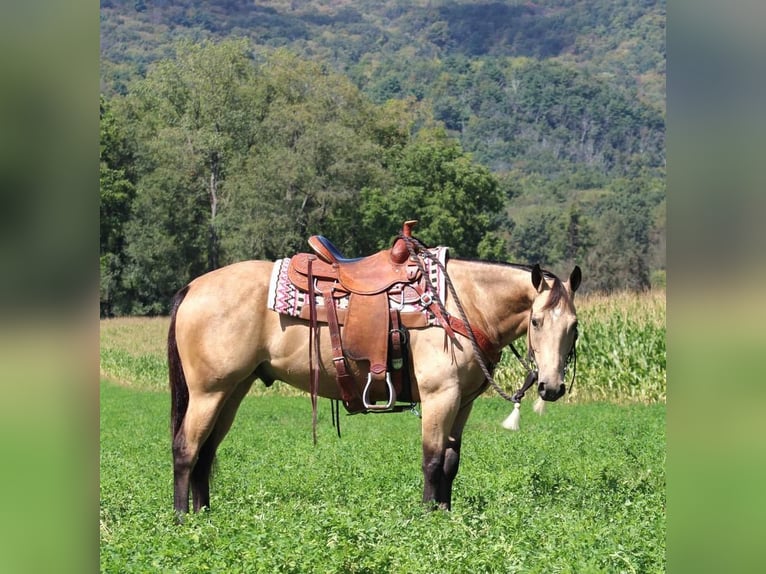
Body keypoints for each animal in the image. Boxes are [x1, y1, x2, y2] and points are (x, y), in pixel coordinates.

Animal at [168, 223, 584, 516]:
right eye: (536, 322)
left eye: (574, 326)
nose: (550, 387)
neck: (461, 304)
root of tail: (191, 288)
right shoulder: (440, 396)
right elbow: (432, 460)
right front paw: (429, 518)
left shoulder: (463, 402)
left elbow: (451, 463)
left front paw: (446, 515)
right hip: (208, 392)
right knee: (186, 449)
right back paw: (183, 520)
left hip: (233, 390)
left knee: (206, 452)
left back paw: (206, 515)